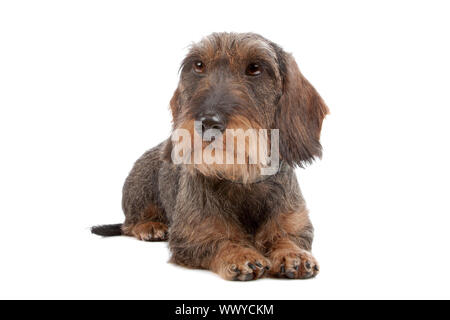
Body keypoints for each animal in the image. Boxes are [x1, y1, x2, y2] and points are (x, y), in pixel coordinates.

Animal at [92, 31, 330, 278]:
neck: (240, 179)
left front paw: (293, 254)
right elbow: (218, 240)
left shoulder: (296, 223)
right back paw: (150, 226)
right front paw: (240, 254)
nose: (208, 123)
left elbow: (286, 236)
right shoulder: (193, 234)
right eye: (198, 65)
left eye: (255, 68)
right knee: (129, 223)